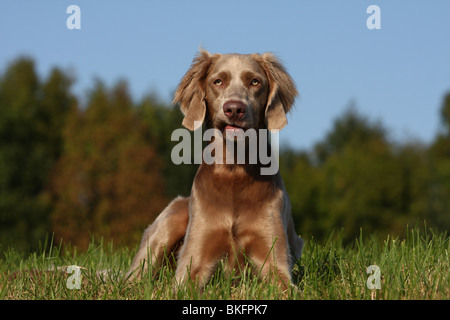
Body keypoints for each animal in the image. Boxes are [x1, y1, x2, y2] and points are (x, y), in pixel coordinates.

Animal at [125, 50, 304, 290]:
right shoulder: (192, 264)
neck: (234, 169)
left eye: (255, 82)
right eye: (218, 81)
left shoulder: (275, 261)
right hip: (171, 217)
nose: (234, 109)